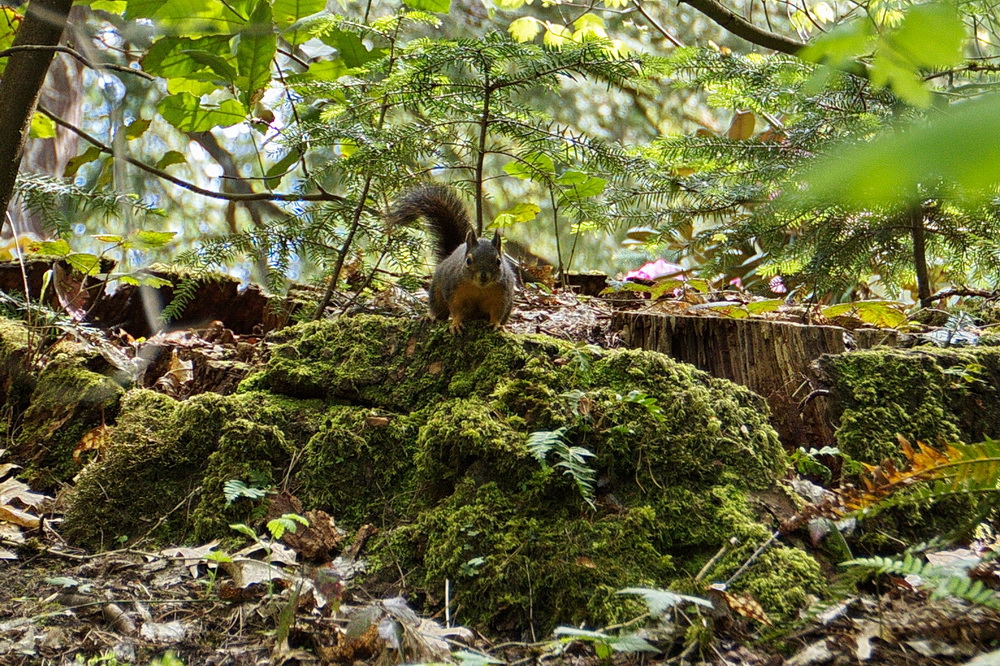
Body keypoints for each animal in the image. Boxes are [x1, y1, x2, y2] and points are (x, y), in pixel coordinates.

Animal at [390, 185, 516, 332]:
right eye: (468, 260)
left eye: (498, 261)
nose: (484, 277)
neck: (479, 288)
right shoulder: (453, 290)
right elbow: (456, 309)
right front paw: (456, 324)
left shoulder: (502, 295)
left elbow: (497, 312)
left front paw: (496, 324)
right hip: (437, 292)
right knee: (439, 311)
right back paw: (429, 317)